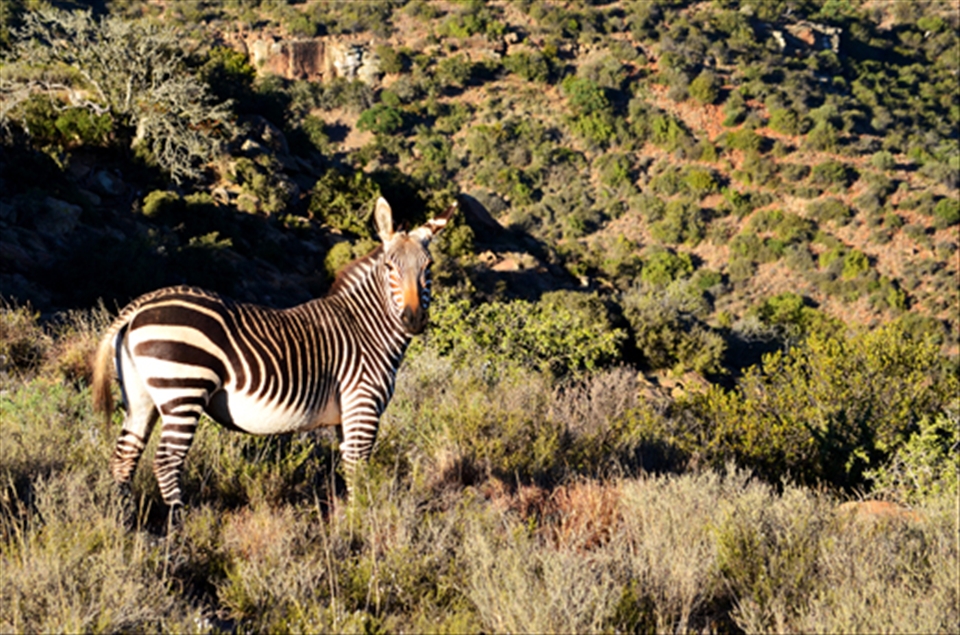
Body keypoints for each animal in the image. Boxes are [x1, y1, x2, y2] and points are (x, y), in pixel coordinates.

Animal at [91, 197, 455, 515]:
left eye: (429, 266)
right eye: (391, 267)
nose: (413, 319)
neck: (367, 327)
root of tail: (142, 304)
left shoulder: (345, 415)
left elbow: (348, 468)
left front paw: (350, 519)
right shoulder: (362, 405)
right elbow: (357, 469)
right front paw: (361, 524)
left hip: (141, 396)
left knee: (125, 455)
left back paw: (124, 521)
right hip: (184, 389)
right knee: (166, 461)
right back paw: (178, 526)